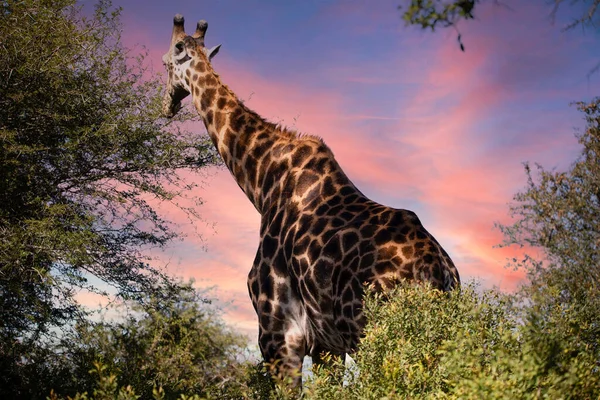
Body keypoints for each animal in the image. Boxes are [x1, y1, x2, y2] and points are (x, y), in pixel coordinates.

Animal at [159, 14, 460, 386]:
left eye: (166, 60)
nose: (166, 105)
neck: (262, 182)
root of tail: (439, 274)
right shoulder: (326, 345)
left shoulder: (278, 335)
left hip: (380, 341)